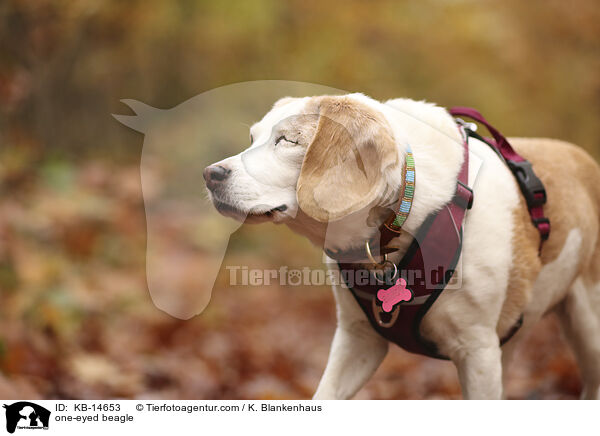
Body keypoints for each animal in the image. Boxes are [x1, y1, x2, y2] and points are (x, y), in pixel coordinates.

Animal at [205, 93, 600, 400]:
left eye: (287, 140)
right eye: (253, 138)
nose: (210, 175)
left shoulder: (478, 352)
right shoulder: (358, 339)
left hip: (588, 329)